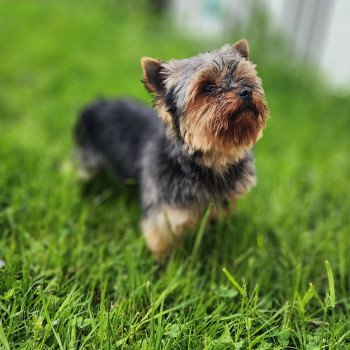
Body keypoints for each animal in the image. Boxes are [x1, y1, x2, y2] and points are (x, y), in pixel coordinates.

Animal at [75, 40, 270, 258]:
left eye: (244, 79)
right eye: (208, 87)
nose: (246, 91)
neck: (210, 161)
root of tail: (97, 104)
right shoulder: (164, 215)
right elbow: (163, 242)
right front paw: (164, 264)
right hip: (87, 157)